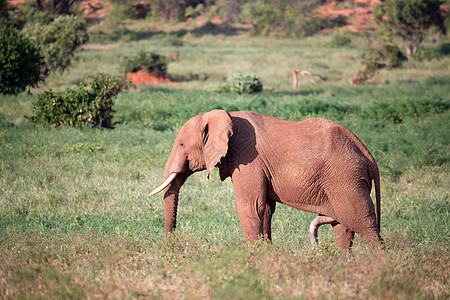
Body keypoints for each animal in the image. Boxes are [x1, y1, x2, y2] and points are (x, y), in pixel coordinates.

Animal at [149, 109, 382, 250]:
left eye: (181, 144)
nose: (171, 245)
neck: (226, 116)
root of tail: (369, 156)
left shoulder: (248, 159)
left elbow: (251, 206)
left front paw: (255, 257)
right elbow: (266, 209)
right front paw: (267, 252)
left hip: (345, 179)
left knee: (362, 223)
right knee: (343, 226)